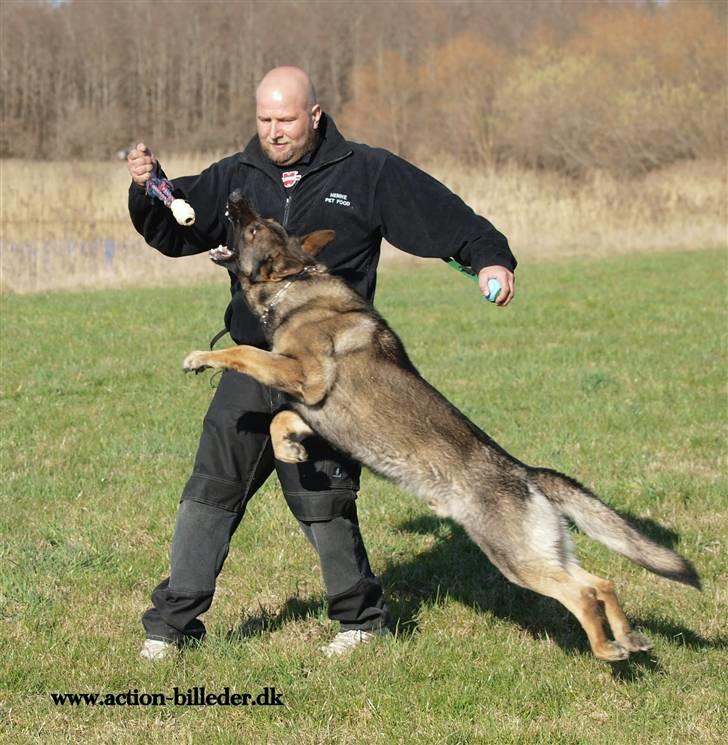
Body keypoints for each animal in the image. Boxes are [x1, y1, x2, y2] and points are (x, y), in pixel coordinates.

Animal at [183, 189, 700, 660]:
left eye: (254, 228)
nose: (234, 195)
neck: (296, 286)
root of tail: (525, 473)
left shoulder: (303, 377)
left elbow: (243, 352)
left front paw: (201, 357)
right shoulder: (311, 407)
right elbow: (281, 418)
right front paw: (290, 450)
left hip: (515, 559)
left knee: (583, 592)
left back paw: (607, 648)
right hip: (540, 552)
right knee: (602, 581)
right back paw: (629, 638)